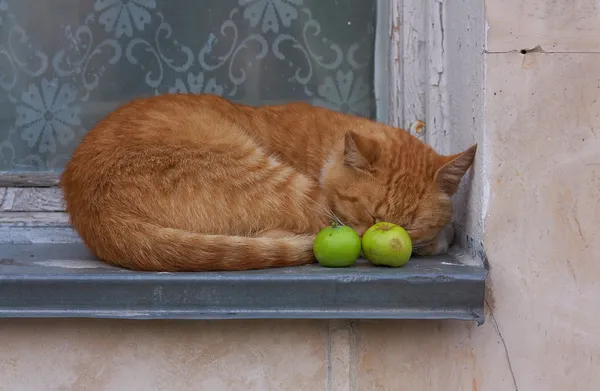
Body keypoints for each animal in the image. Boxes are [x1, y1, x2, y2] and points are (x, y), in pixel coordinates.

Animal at [59, 95, 474, 272]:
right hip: (280, 184)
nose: (383, 234)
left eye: (409, 226)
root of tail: (94, 210)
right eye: (370, 215)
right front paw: (438, 241)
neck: (325, 148)